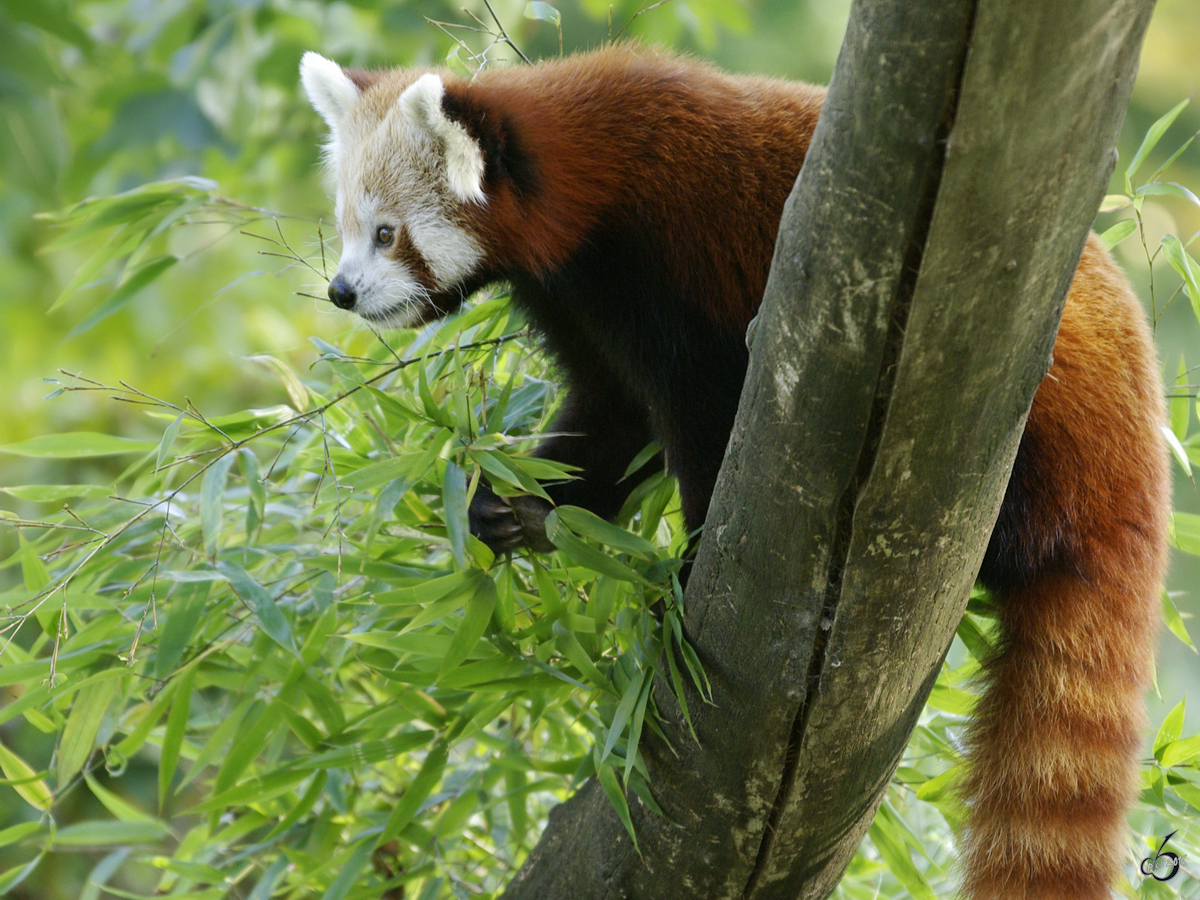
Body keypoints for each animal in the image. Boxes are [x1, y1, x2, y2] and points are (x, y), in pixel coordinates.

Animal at [302, 44, 1171, 900]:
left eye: (387, 233)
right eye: (346, 228)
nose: (340, 291)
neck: (589, 186)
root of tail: (1138, 481)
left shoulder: (674, 267)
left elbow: (707, 422)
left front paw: (682, 573)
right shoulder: (576, 298)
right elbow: (611, 410)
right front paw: (519, 505)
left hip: (1028, 408)